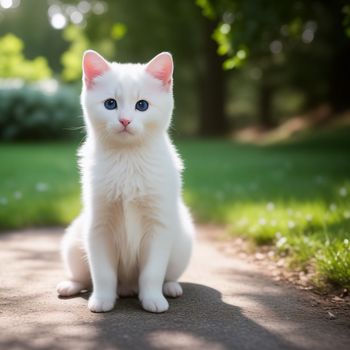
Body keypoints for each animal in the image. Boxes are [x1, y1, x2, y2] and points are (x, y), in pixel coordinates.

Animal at [56, 50, 196, 314]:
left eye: (142, 105)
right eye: (110, 103)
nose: (124, 121)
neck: (127, 159)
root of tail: (127, 287)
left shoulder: (159, 226)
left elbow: (152, 273)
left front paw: (153, 299)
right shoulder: (98, 226)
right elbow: (102, 273)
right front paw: (102, 300)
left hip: (184, 243)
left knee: (168, 275)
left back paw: (170, 288)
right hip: (73, 242)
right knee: (82, 276)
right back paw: (70, 286)